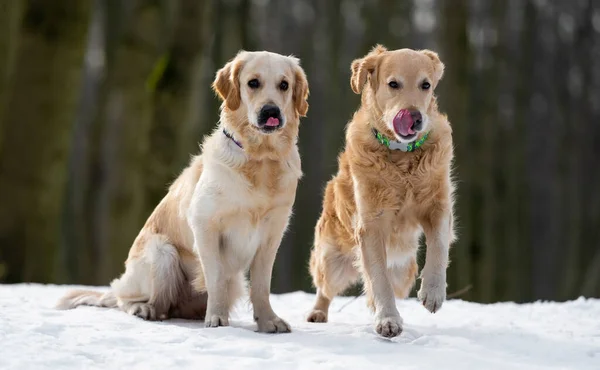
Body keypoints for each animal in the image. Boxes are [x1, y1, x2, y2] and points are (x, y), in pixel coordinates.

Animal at [57, 50, 310, 334]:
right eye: (253, 83)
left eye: (284, 85)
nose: (271, 111)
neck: (260, 159)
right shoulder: (205, 225)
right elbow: (215, 278)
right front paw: (217, 319)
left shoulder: (272, 233)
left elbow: (261, 286)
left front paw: (268, 321)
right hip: (162, 253)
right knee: (133, 299)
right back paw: (145, 309)